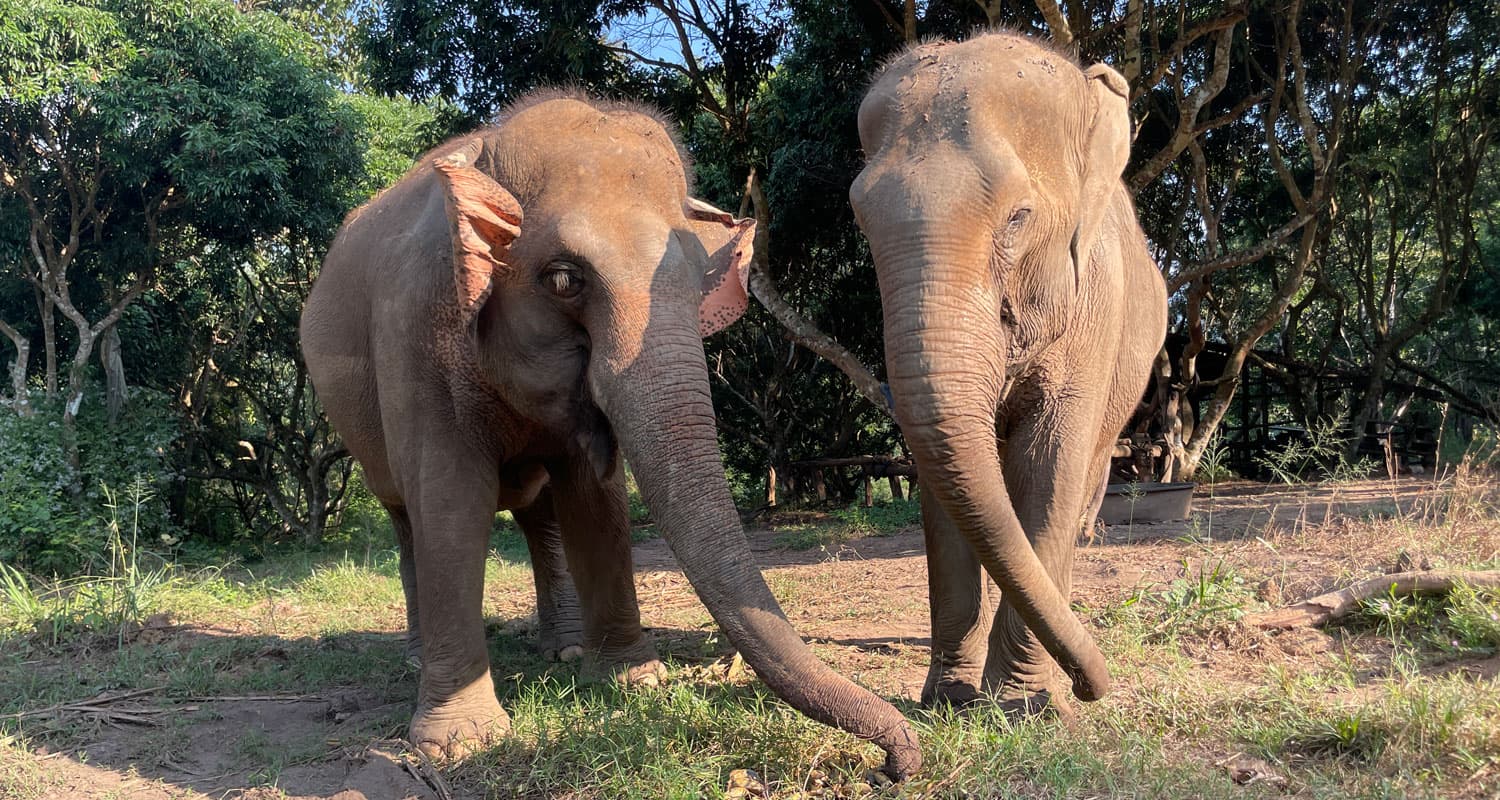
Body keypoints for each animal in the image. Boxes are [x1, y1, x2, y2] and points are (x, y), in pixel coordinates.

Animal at [299, 91, 919, 778]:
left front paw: (632, 682)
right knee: (408, 516)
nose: (895, 760)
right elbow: (450, 502)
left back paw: (564, 651)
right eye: (564, 280)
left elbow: (597, 498)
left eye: (699, 285)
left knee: (540, 512)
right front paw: (459, 743)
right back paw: (417, 655)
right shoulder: (416, 331)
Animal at [849, 33, 1168, 709]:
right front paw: (951, 699)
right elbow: (943, 478)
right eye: (861, 221)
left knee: (1084, 472)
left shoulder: (1095, 304)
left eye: (1018, 217)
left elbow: (1049, 460)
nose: (1093, 686)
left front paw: (1024, 705)